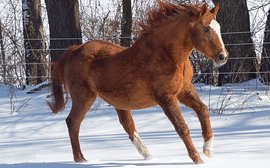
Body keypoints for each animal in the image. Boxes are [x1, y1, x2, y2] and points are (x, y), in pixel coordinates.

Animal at [48, 0, 228, 164]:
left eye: (218, 28)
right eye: (206, 28)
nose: (223, 57)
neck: (167, 56)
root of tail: (73, 51)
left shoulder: (185, 91)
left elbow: (203, 110)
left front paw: (208, 149)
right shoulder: (166, 98)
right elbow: (181, 127)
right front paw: (197, 159)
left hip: (118, 101)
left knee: (127, 124)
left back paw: (148, 155)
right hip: (84, 97)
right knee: (73, 122)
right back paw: (81, 159)